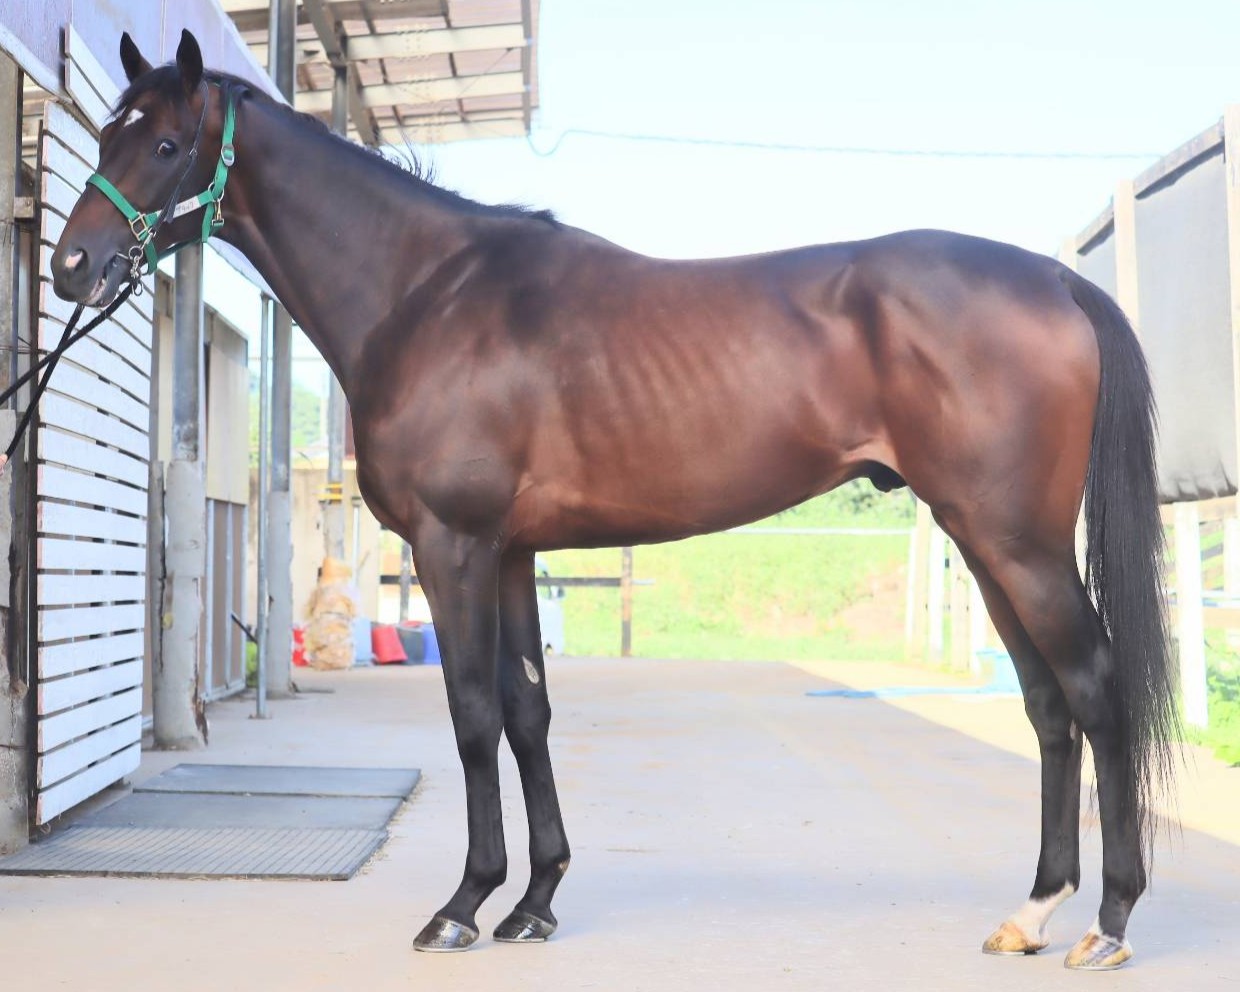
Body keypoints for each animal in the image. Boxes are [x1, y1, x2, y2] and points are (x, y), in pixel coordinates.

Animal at [49, 30, 1178, 969]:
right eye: (108, 128)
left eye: (162, 142)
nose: (70, 266)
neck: (429, 292)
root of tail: (1053, 280)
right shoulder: (509, 552)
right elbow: (527, 711)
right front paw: (534, 900)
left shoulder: (453, 546)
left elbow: (471, 715)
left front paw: (463, 904)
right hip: (985, 542)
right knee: (1045, 703)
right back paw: (1031, 911)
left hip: (1018, 541)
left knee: (1093, 687)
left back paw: (1112, 921)